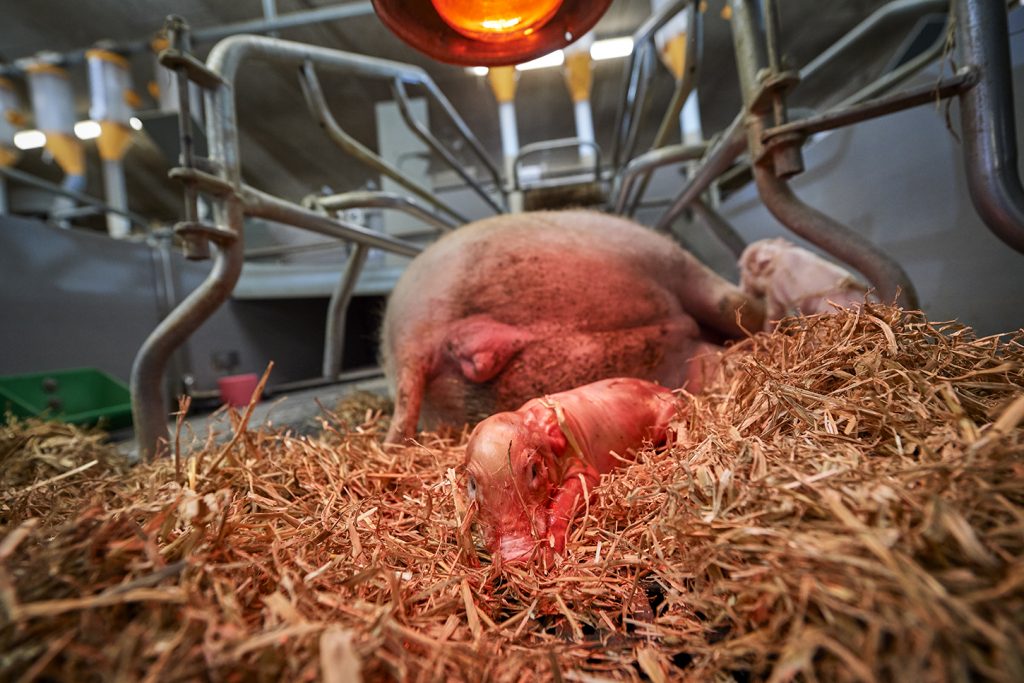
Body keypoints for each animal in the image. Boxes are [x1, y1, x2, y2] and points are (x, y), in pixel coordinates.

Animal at [464, 377, 678, 562]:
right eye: (471, 484)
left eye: (534, 470)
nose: (516, 554)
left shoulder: (585, 468)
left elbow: (570, 494)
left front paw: (551, 554)